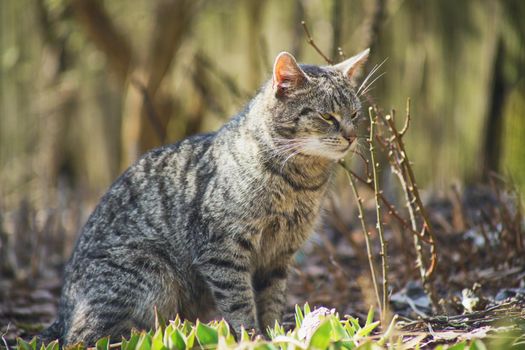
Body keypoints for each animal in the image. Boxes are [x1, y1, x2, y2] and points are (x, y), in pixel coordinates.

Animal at [41, 48, 368, 344]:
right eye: (327, 116)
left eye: (354, 114)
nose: (352, 136)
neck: (301, 183)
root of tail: (62, 311)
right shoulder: (223, 249)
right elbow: (239, 303)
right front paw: (252, 338)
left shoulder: (280, 256)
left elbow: (272, 301)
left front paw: (275, 335)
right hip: (149, 272)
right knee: (82, 338)